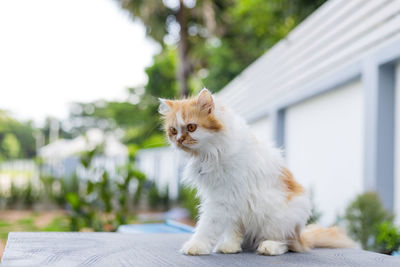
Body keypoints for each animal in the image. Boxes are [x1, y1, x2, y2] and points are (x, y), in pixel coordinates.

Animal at [158, 89, 354, 256]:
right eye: (173, 131)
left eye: (191, 127)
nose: (179, 140)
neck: (210, 153)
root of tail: (301, 235)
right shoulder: (230, 202)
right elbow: (231, 229)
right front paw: (228, 246)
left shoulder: (221, 198)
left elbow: (207, 225)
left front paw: (196, 246)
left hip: (277, 218)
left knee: (287, 243)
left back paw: (269, 247)